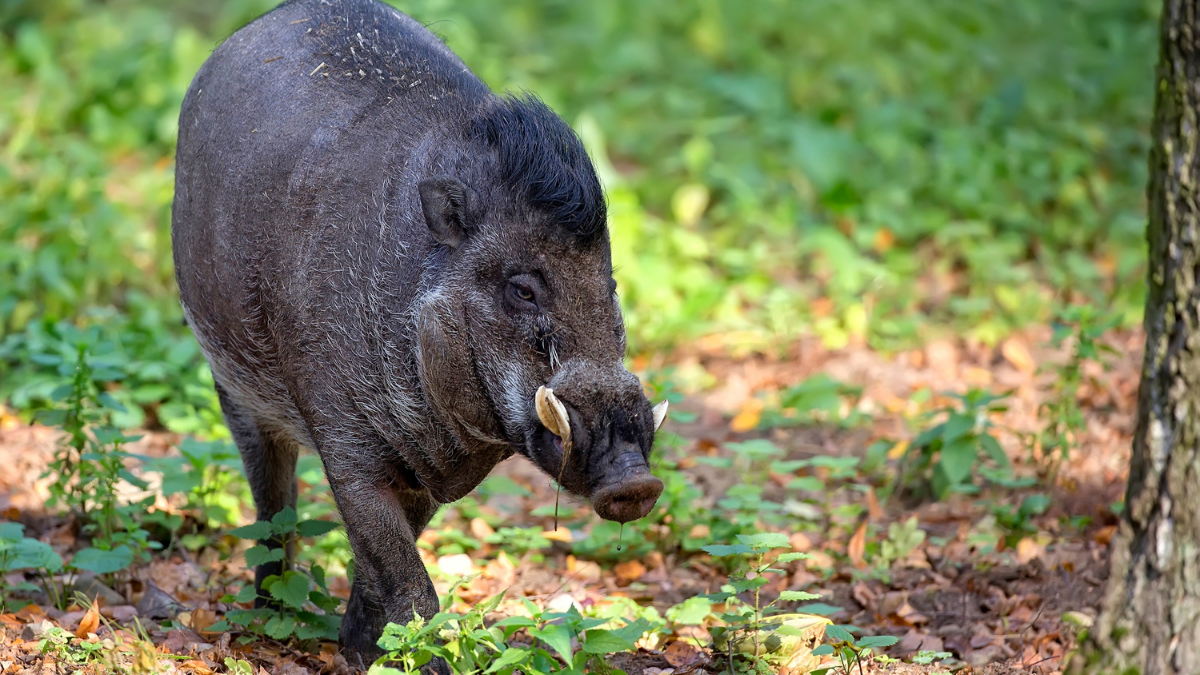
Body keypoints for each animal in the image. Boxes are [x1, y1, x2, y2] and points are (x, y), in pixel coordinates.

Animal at [171, 0, 667, 666]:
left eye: (610, 284)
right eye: (522, 288)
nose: (636, 483)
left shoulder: (426, 474)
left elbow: (385, 564)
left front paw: (361, 652)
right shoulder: (346, 446)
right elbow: (409, 584)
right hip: (231, 384)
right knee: (272, 499)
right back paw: (267, 607)